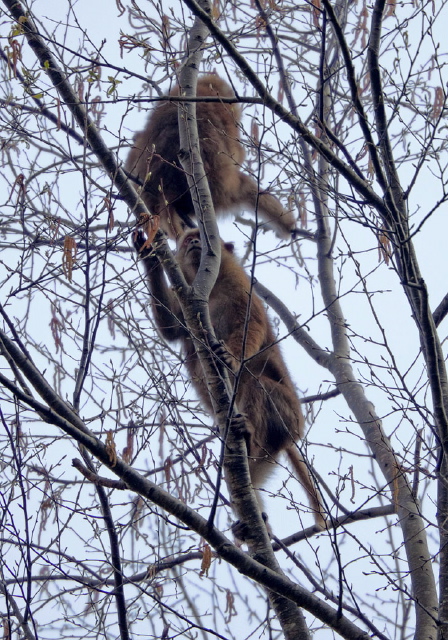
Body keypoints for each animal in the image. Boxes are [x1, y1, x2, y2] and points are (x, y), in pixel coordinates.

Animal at [134, 228, 326, 528]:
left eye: (200, 236)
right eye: (188, 239)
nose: (195, 242)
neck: (210, 287)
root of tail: (294, 434)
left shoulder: (241, 287)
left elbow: (251, 325)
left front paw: (230, 358)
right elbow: (170, 329)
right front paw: (149, 256)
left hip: (288, 415)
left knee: (256, 384)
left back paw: (246, 436)